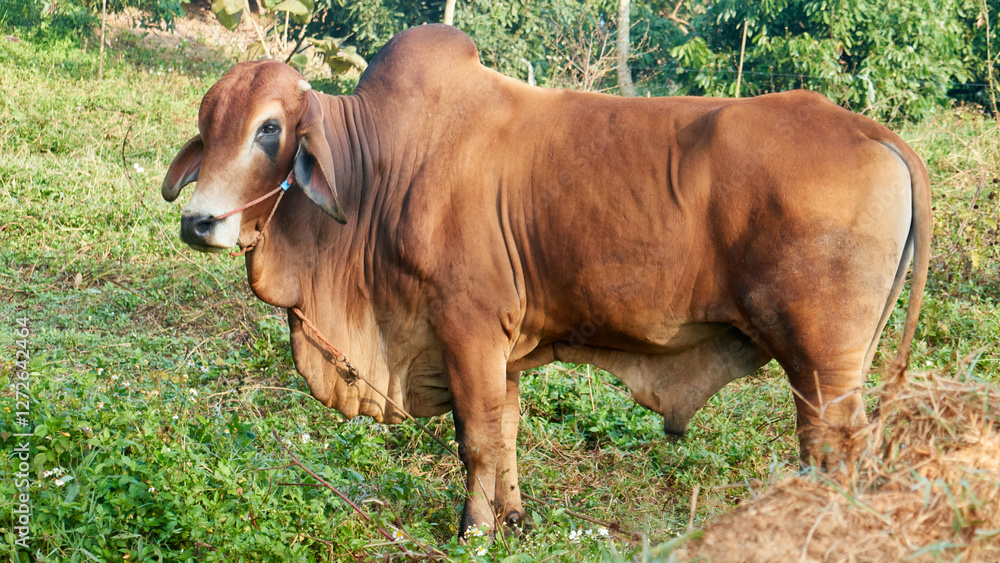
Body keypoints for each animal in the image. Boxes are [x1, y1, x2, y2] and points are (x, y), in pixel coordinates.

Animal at [161, 24, 930, 537]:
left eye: (269, 130)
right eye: (207, 124)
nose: (200, 222)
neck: (379, 167)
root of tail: (872, 132)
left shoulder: (466, 329)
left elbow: (474, 438)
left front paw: (473, 529)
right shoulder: (501, 348)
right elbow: (504, 434)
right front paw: (512, 518)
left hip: (822, 361)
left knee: (832, 446)